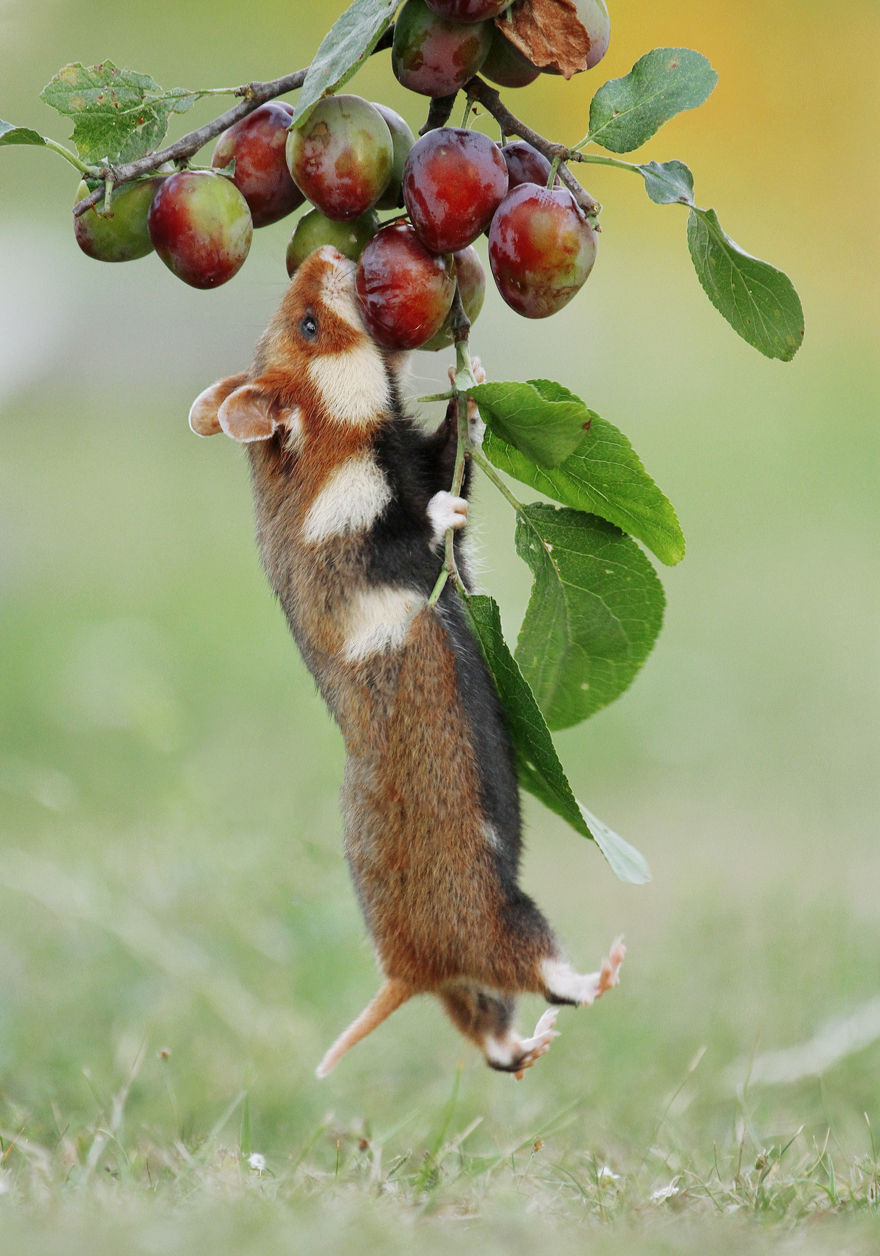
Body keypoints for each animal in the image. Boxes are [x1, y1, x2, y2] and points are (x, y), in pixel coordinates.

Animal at [190, 244, 625, 1080]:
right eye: (309, 323)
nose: (331, 249)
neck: (339, 453)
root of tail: (405, 972)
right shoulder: (356, 549)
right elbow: (426, 524)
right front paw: (445, 509)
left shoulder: (421, 458)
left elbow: (453, 443)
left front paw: (471, 375)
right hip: (504, 917)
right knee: (550, 977)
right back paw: (606, 969)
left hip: (468, 984)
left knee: (494, 1041)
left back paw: (535, 1045)